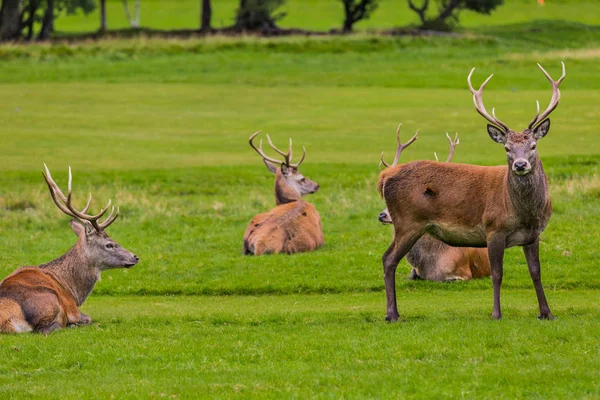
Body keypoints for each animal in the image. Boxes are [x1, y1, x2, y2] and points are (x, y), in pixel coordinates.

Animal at [0, 166, 138, 334]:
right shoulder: (72, 307)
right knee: (45, 329)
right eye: (109, 244)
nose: (135, 257)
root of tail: (6, 319)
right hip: (49, 300)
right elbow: (88, 318)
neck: (72, 290)